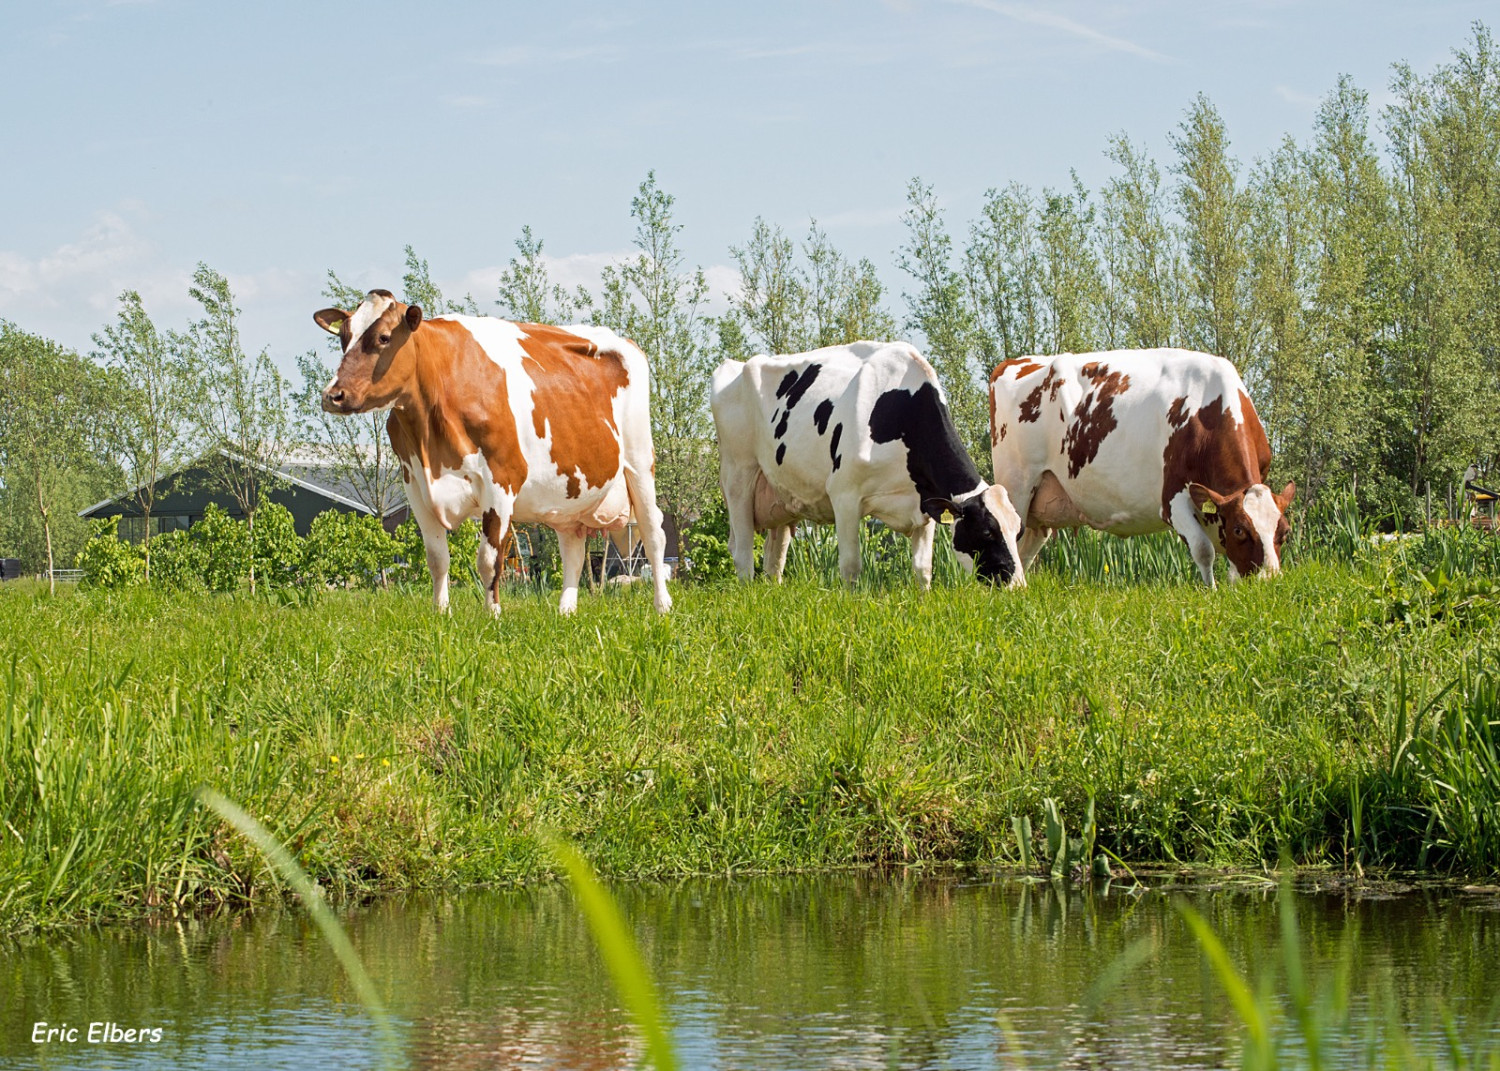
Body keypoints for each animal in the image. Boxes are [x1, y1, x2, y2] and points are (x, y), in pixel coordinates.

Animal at [313, 288, 672, 612]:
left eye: (385, 337)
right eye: (343, 337)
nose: (333, 395)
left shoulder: (500, 479)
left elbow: (488, 560)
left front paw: (492, 615)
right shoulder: (415, 485)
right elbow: (437, 559)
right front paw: (440, 614)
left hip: (640, 462)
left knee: (654, 533)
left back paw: (662, 606)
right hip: (569, 492)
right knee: (573, 547)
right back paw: (565, 612)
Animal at [708, 340, 1026, 585]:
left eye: (1018, 530)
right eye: (987, 531)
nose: (1018, 586)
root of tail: (736, 365)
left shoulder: (925, 504)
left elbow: (923, 569)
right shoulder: (844, 495)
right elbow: (851, 567)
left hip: (781, 495)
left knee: (774, 560)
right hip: (739, 474)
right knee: (743, 554)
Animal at [990, 348, 1296, 585]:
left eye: (1284, 532)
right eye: (1240, 530)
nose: (1269, 581)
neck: (1210, 412)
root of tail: (1017, 362)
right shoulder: (1172, 499)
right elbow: (1203, 550)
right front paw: (1211, 592)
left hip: (1041, 506)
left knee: (1026, 548)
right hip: (1017, 486)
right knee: (1011, 538)